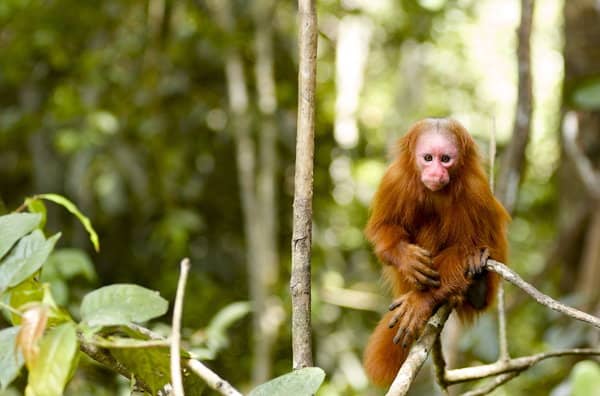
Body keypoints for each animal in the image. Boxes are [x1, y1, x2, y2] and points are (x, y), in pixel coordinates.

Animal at [364, 117, 508, 386]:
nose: (436, 173)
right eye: (428, 158)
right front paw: (407, 258)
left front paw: (421, 301)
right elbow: (382, 228)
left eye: (446, 159)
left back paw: (476, 289)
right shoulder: (394, 180)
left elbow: (465, 248)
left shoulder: (475, 190)